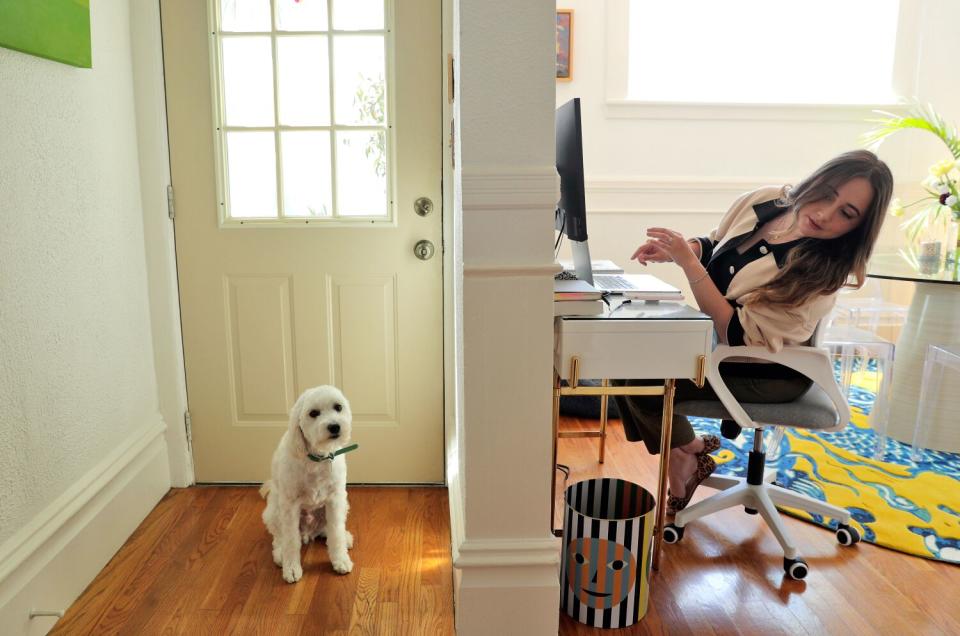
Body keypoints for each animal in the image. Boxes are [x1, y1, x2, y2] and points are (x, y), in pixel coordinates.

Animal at [260, 386, 354, 584]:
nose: (335, 426)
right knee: (278, 538)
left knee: (329, 530)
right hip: (273, 512)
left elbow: (335, 533)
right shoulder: (289, 506)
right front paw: (291, 568)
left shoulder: (335, 499)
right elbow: (290, 540)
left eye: (338, 407)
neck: (318, 458)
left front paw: (340, 559)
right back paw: (280, 554)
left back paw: (345, 537)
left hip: (342, 505)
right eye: (313, 413)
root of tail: (309, 532)